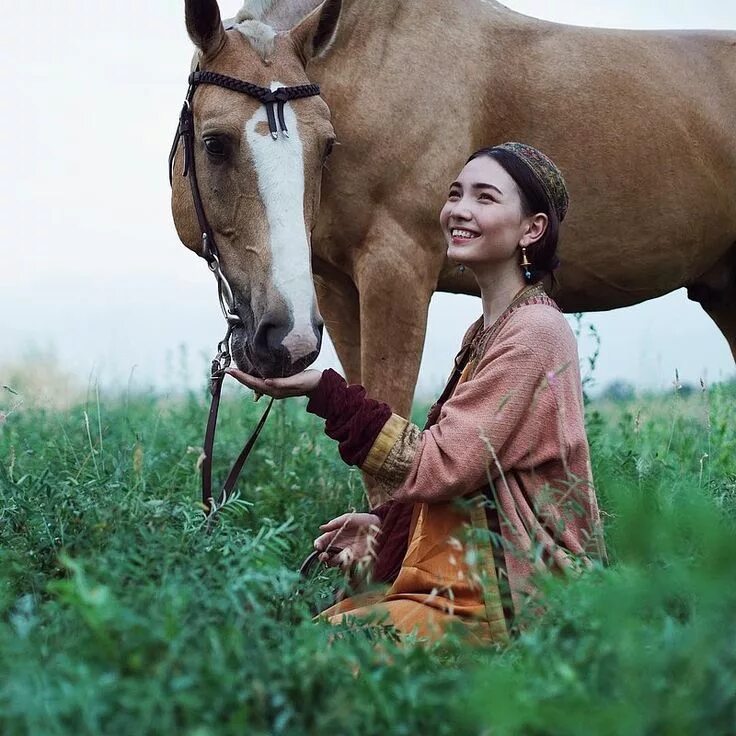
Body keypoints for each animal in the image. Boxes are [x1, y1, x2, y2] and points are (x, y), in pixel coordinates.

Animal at [172, 0, 736, 504]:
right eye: (215, 143)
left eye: (326, 146)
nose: (284, 338)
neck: (371, 63)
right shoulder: (335, 288)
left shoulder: (396, 273)